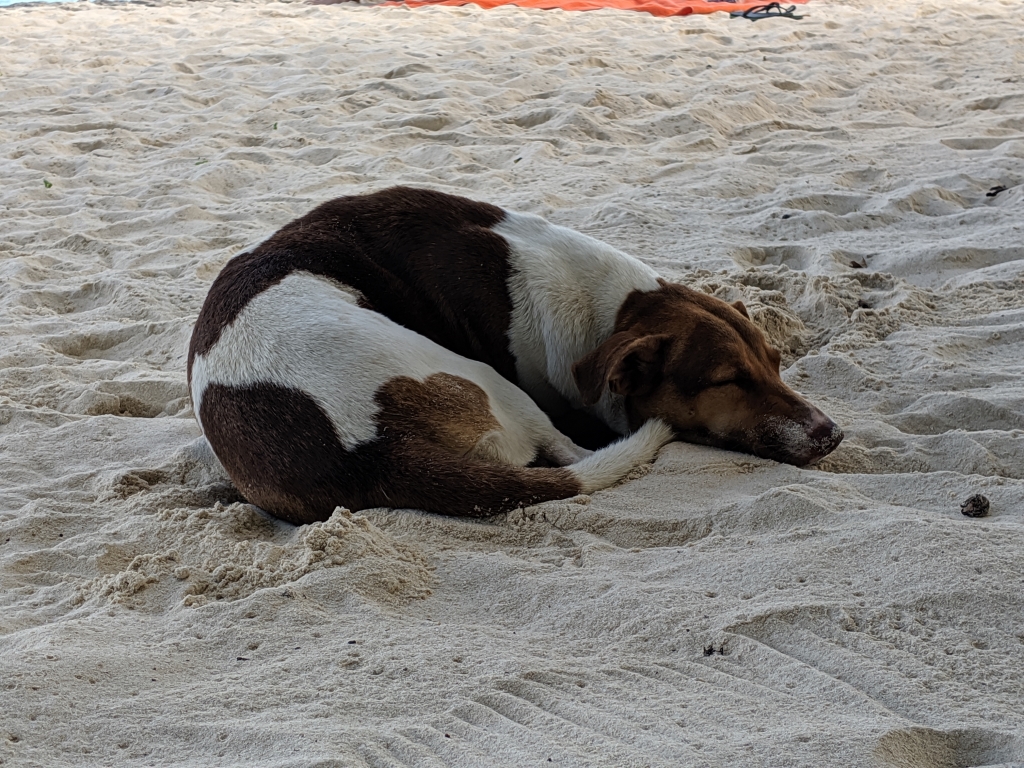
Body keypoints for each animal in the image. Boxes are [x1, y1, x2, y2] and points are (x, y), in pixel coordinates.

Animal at [188, 187, 842, 524]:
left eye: (777, 362)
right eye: (727, 380)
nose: (832, 435)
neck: (609, 312)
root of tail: (366, 454)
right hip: (485, 382)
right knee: (571, 454)